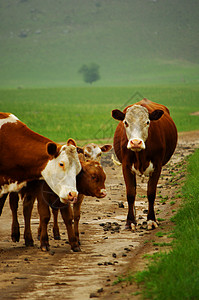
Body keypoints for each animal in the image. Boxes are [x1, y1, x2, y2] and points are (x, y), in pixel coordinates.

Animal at [112, 98, 177, 230]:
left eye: (147, 122)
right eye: (126, 122)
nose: (136, 142)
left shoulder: (157, 166)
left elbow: (151, 193)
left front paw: (151, 220)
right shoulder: (126, 166)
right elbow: (130, 193)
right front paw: (130, 221)